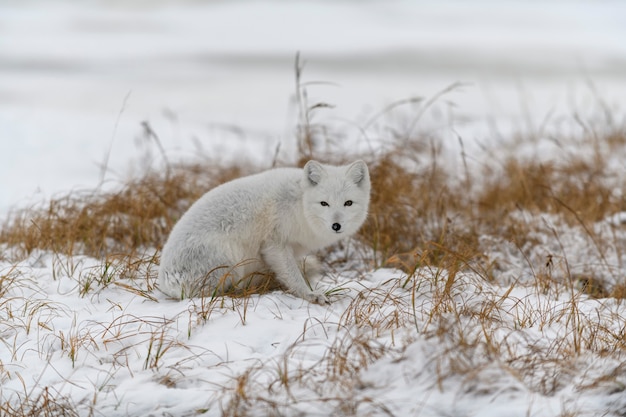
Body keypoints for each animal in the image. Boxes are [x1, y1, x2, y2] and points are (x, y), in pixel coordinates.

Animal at [157, 159, 370, 302]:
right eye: (324, 203)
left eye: (348, 203)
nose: (336, 226)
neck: (299, 205)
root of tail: (165, 281)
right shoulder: (275, 244)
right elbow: (293, 276)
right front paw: (310, 294)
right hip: (229, 262)